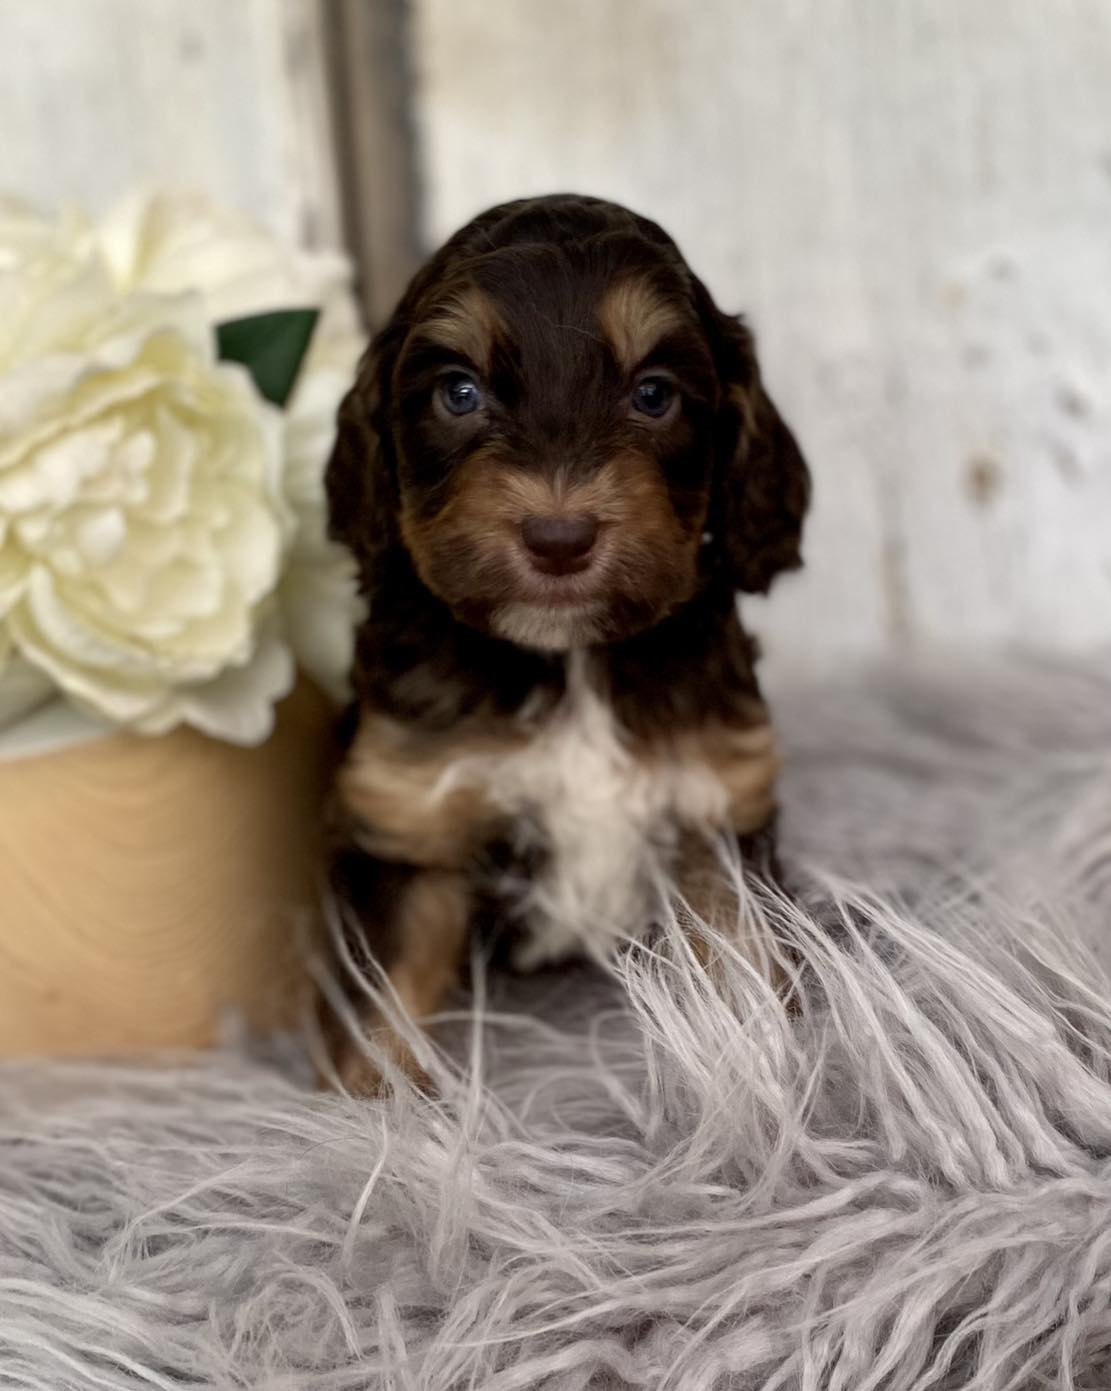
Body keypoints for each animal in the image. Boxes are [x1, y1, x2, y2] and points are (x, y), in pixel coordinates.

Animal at [321, 196, 806, 1090]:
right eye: (459, 392)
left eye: (653, 394)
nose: (558, 537)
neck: (569, 657)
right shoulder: (410, 827)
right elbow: (385, 1001)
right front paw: (372, 1107)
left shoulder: (713, 815)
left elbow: (739, 976)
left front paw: (764, 1085)